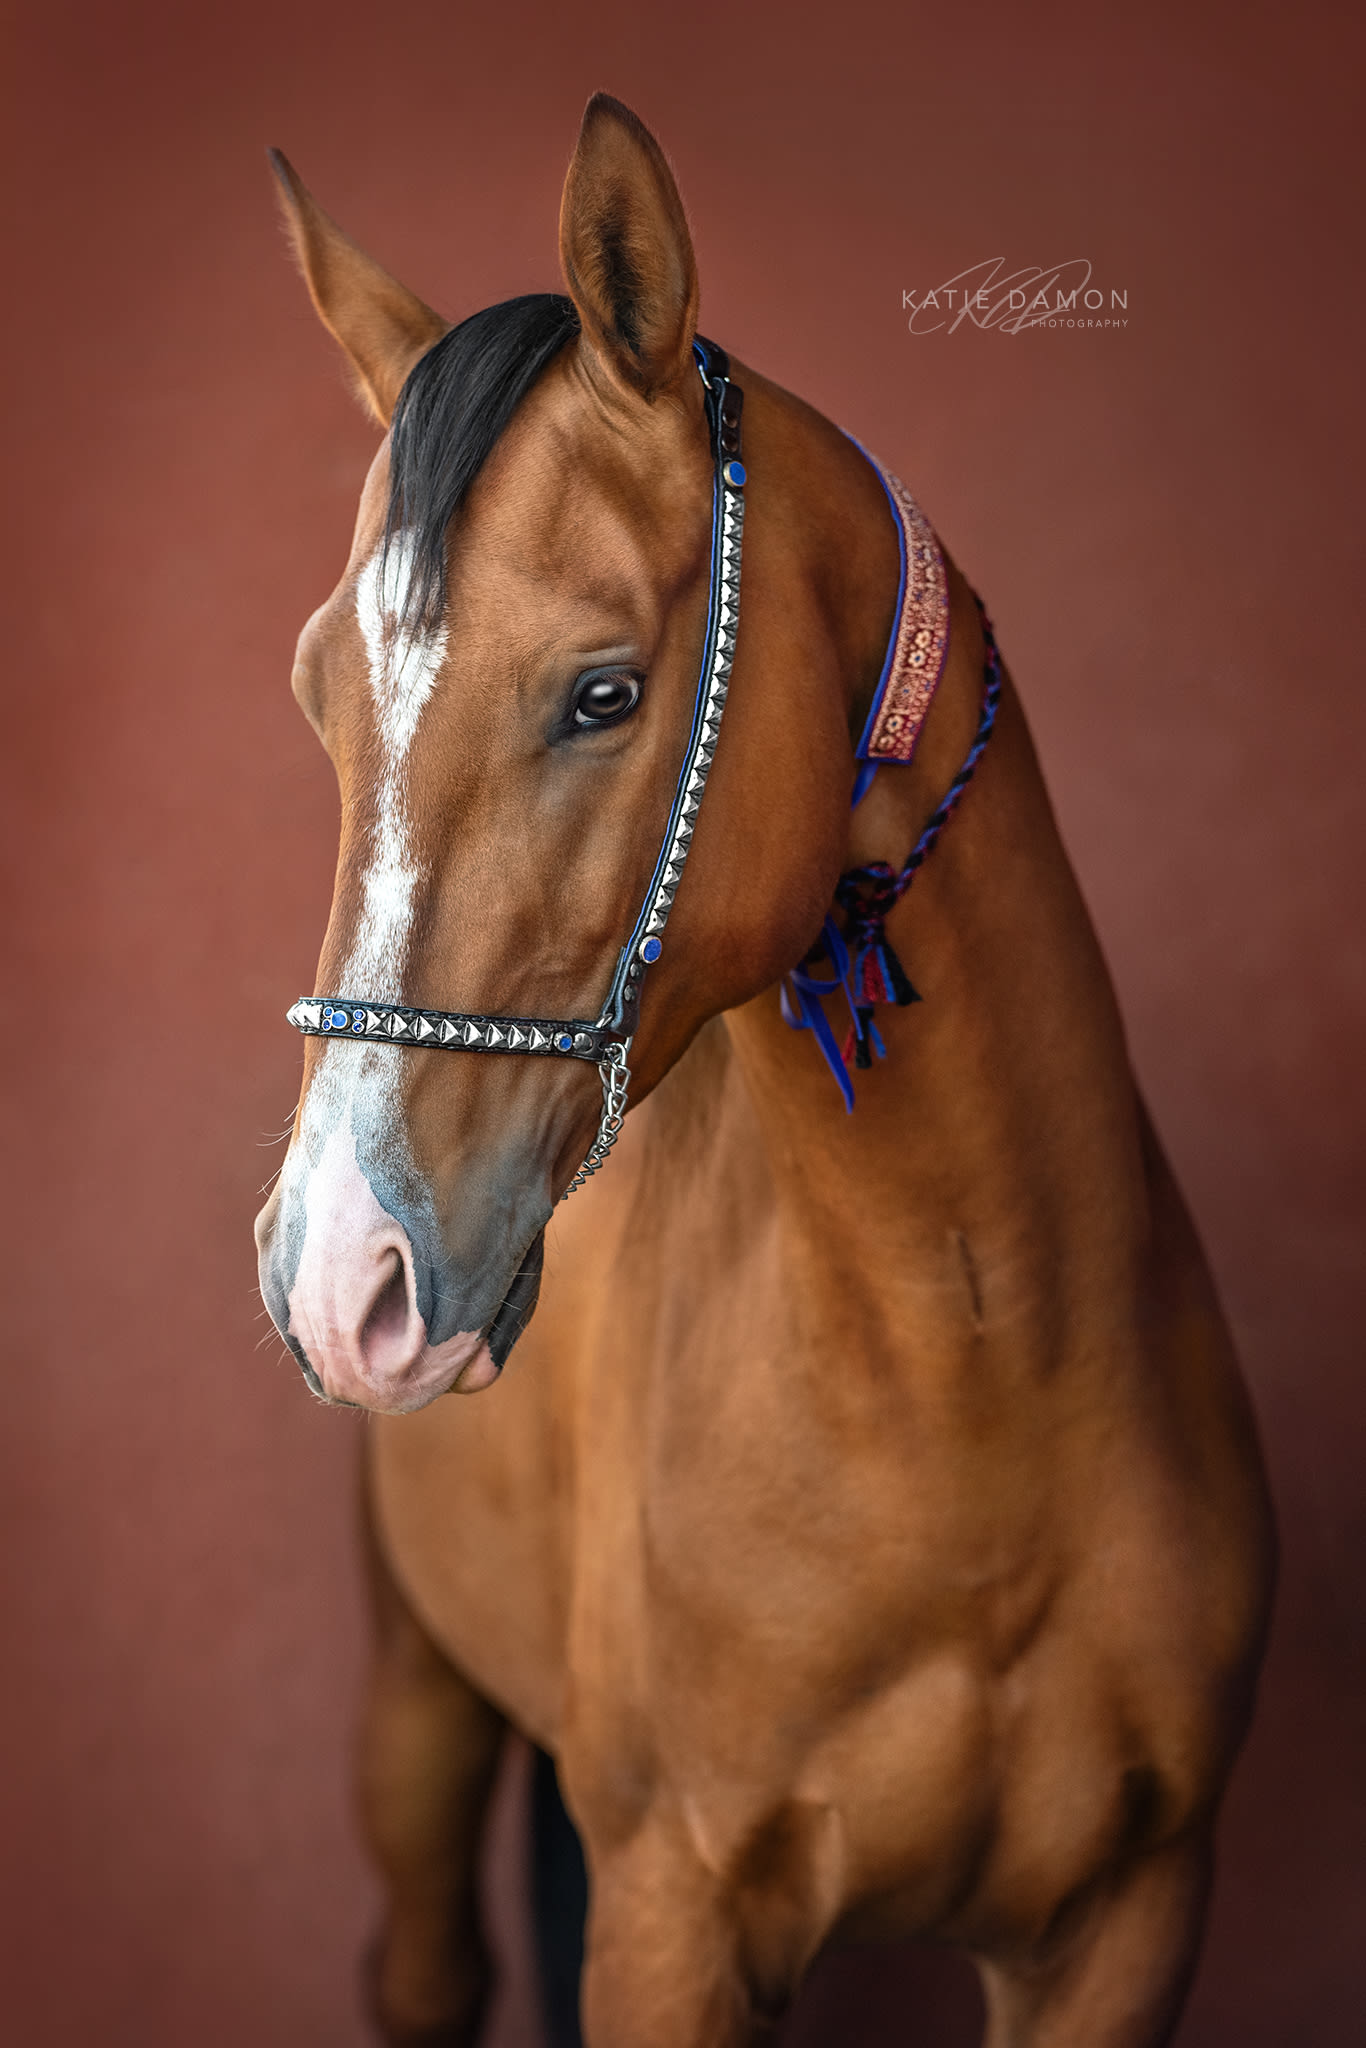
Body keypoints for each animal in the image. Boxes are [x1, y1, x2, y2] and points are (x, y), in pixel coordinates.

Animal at [254, 94, 1275, 2048]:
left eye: (599, 691)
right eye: (316, 697)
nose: (341, 1272)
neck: (968, 1363)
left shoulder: (1129, 1921)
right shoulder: (673, 1920)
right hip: (419, 1699)